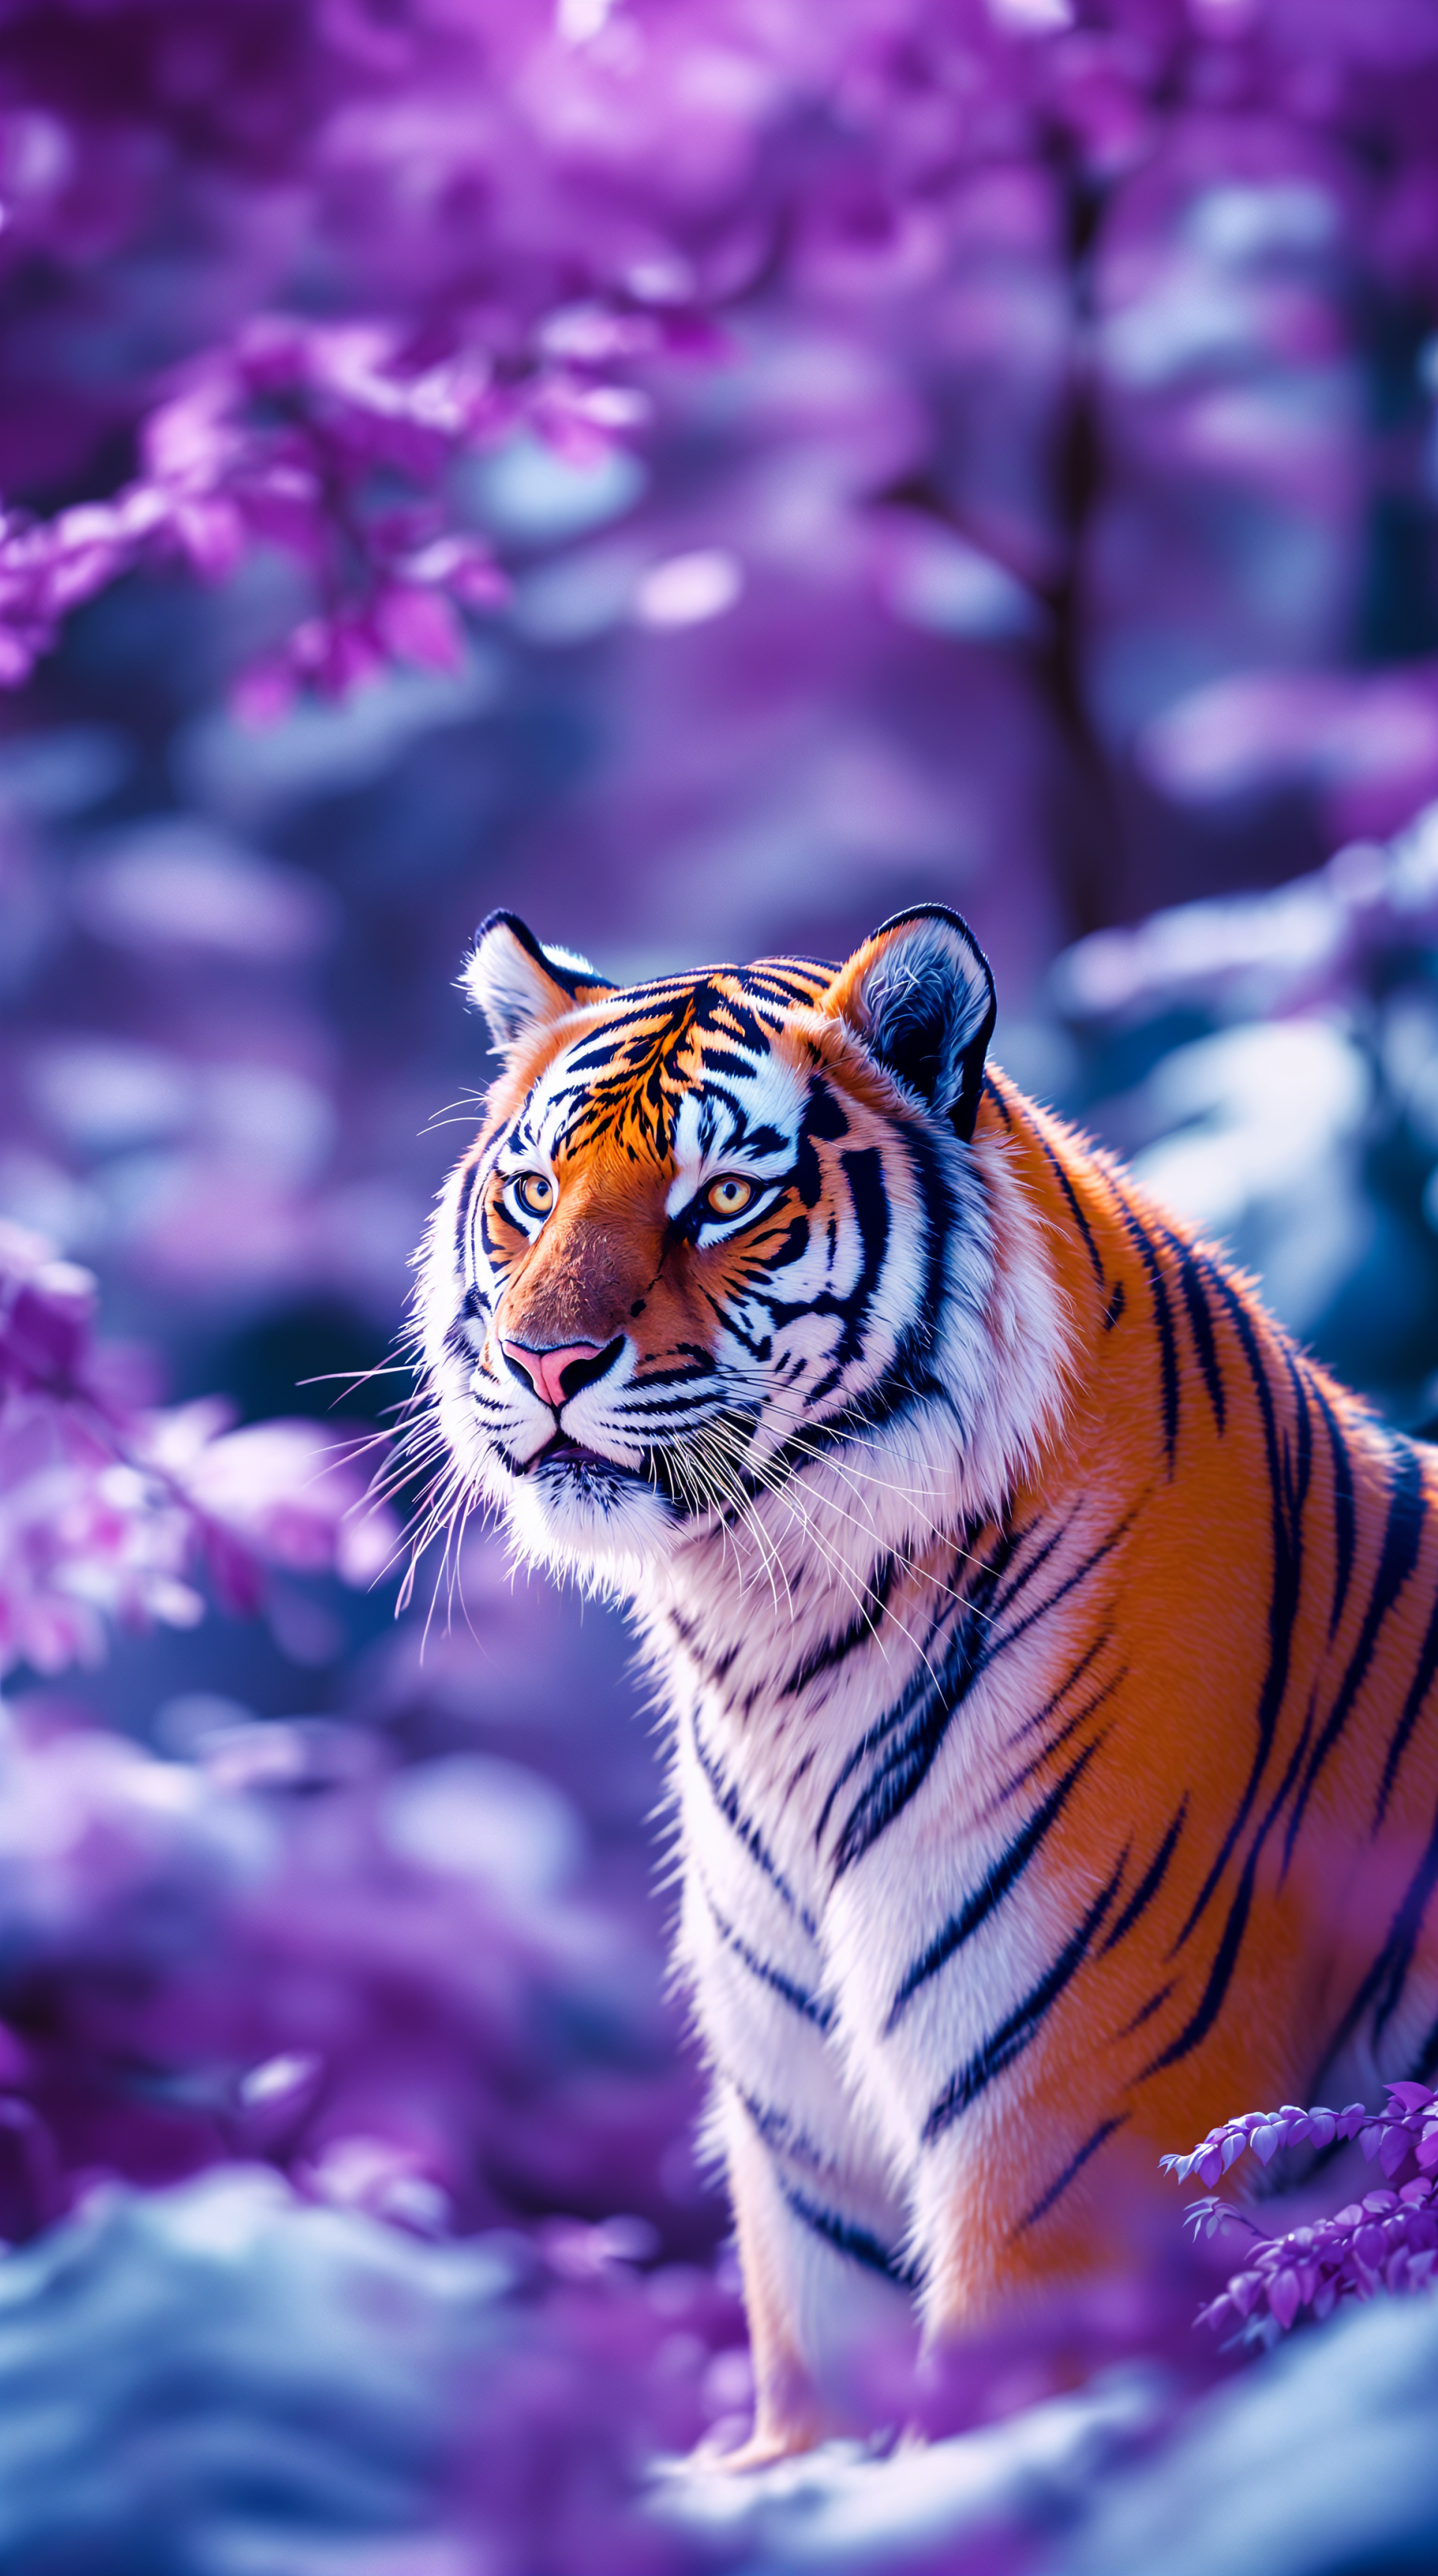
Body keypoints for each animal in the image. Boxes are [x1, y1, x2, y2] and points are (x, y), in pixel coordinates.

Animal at [415, 900, 1438, 2465]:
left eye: (723, 1197)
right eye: (531, 1191)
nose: (543, 1361)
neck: (773, 1640)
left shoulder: (1073, 2143)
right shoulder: (808, 2166)